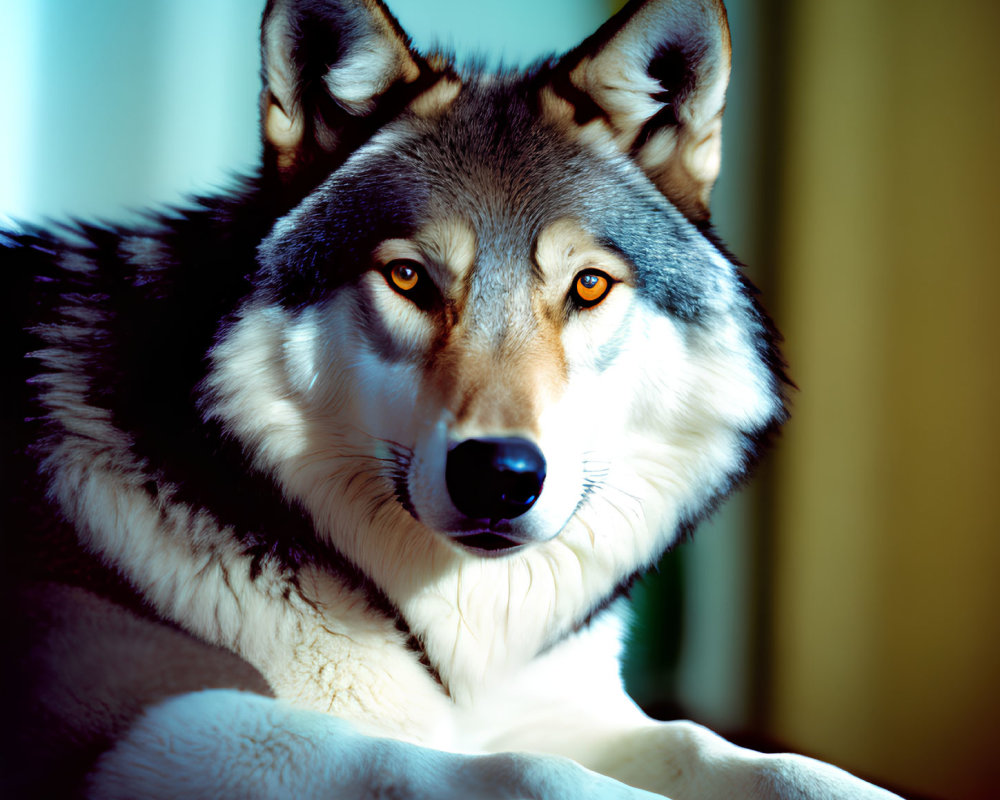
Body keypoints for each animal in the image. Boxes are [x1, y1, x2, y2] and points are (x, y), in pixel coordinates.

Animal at [3, 0, 904, 796]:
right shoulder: (162, 715)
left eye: (588, 285)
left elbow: (741, 753)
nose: (499, 477)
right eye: (409, 277)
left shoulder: (562, 713)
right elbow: (519, 774)